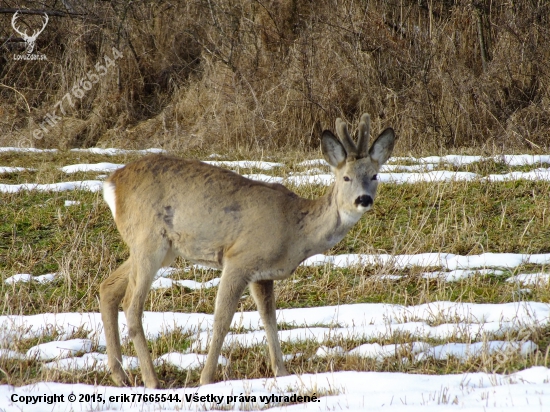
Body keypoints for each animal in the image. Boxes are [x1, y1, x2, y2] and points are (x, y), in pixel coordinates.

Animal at [99, 113, 396, 386]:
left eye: (374, 175)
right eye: (346, 177)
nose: (363, 199)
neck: (295, 230)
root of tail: (112, 183)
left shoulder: (262, 274)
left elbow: (269, 318)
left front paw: (282, 373)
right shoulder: (239, 258)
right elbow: (222, 319)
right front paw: (206, 379)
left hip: (160, 248)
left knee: (108, 288)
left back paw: (120, 375)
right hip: (149, 240)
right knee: (131, 304)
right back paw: (151, 380)